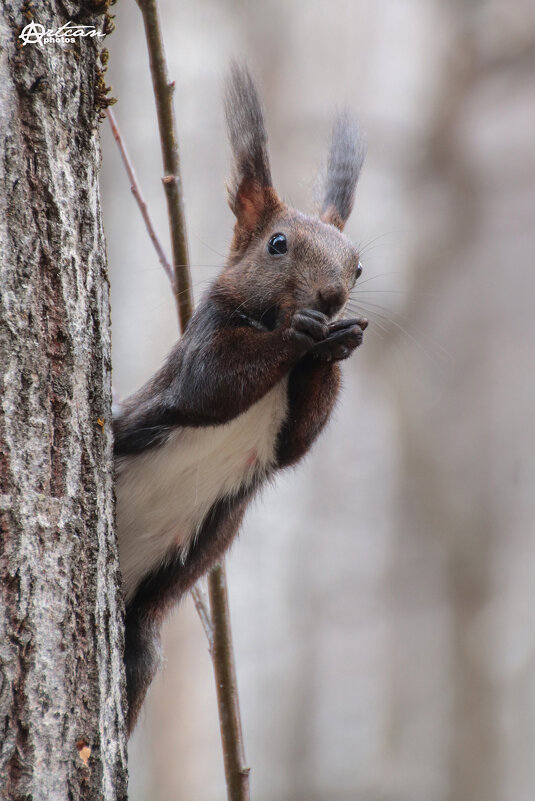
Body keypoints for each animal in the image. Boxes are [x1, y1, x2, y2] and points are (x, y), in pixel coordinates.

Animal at [114, 65, 368, 736]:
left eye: (358, 267)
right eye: (277, 244)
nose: (332, 298)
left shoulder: (284, 432)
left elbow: (297, 442)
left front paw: (339, 343)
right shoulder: (197, 347)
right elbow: (206, 388)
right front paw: (301, 334)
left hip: (141, 631)